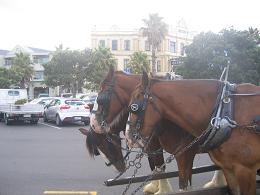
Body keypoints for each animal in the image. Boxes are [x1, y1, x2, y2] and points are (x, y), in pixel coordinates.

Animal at [128, 71, 260, 195]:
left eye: (133, 107)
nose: (129, 136)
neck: (225, 110)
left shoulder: (245, 170)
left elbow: (183, 184)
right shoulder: (229, 168)